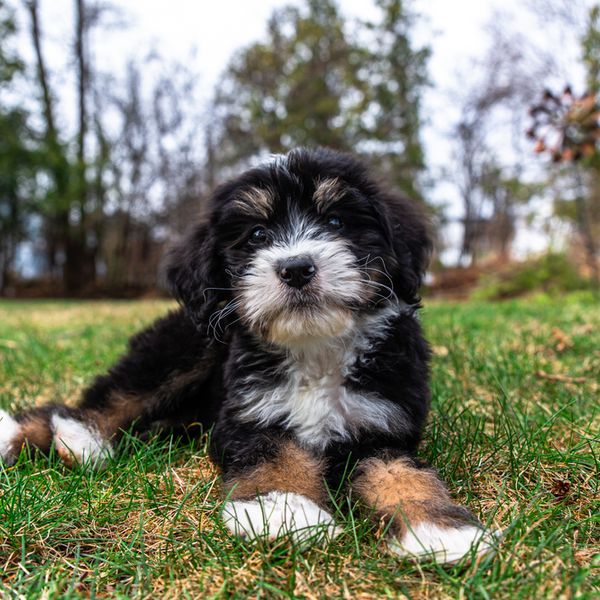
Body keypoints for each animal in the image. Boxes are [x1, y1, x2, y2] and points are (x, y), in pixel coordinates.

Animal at [0, 148, 494, 564]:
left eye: (336, 222)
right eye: (257, 234)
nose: (296, 268)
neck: (314, 349)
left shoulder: (382, 423)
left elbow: (402, 472)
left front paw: (440, 528)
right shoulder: (248, 415)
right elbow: (275, 454)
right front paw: (284, 510)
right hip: (187, 345)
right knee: (110, 397)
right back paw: (65, 435)